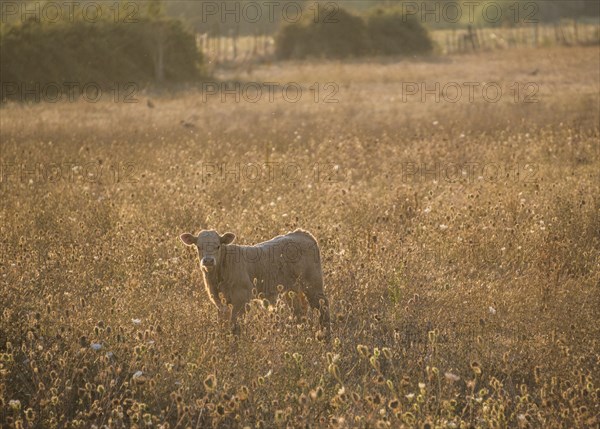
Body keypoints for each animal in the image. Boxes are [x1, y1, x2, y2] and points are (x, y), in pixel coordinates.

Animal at [180, 229, 330, 336]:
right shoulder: (218, 300)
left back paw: (325, 334)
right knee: (299, 310)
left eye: (218, 246)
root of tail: (302, 233)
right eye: (198, 246)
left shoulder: (242, 298)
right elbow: (224, 321)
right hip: (292, 289)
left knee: (322, 305)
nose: (208, 260)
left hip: (313, 285)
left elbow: (234, 324)